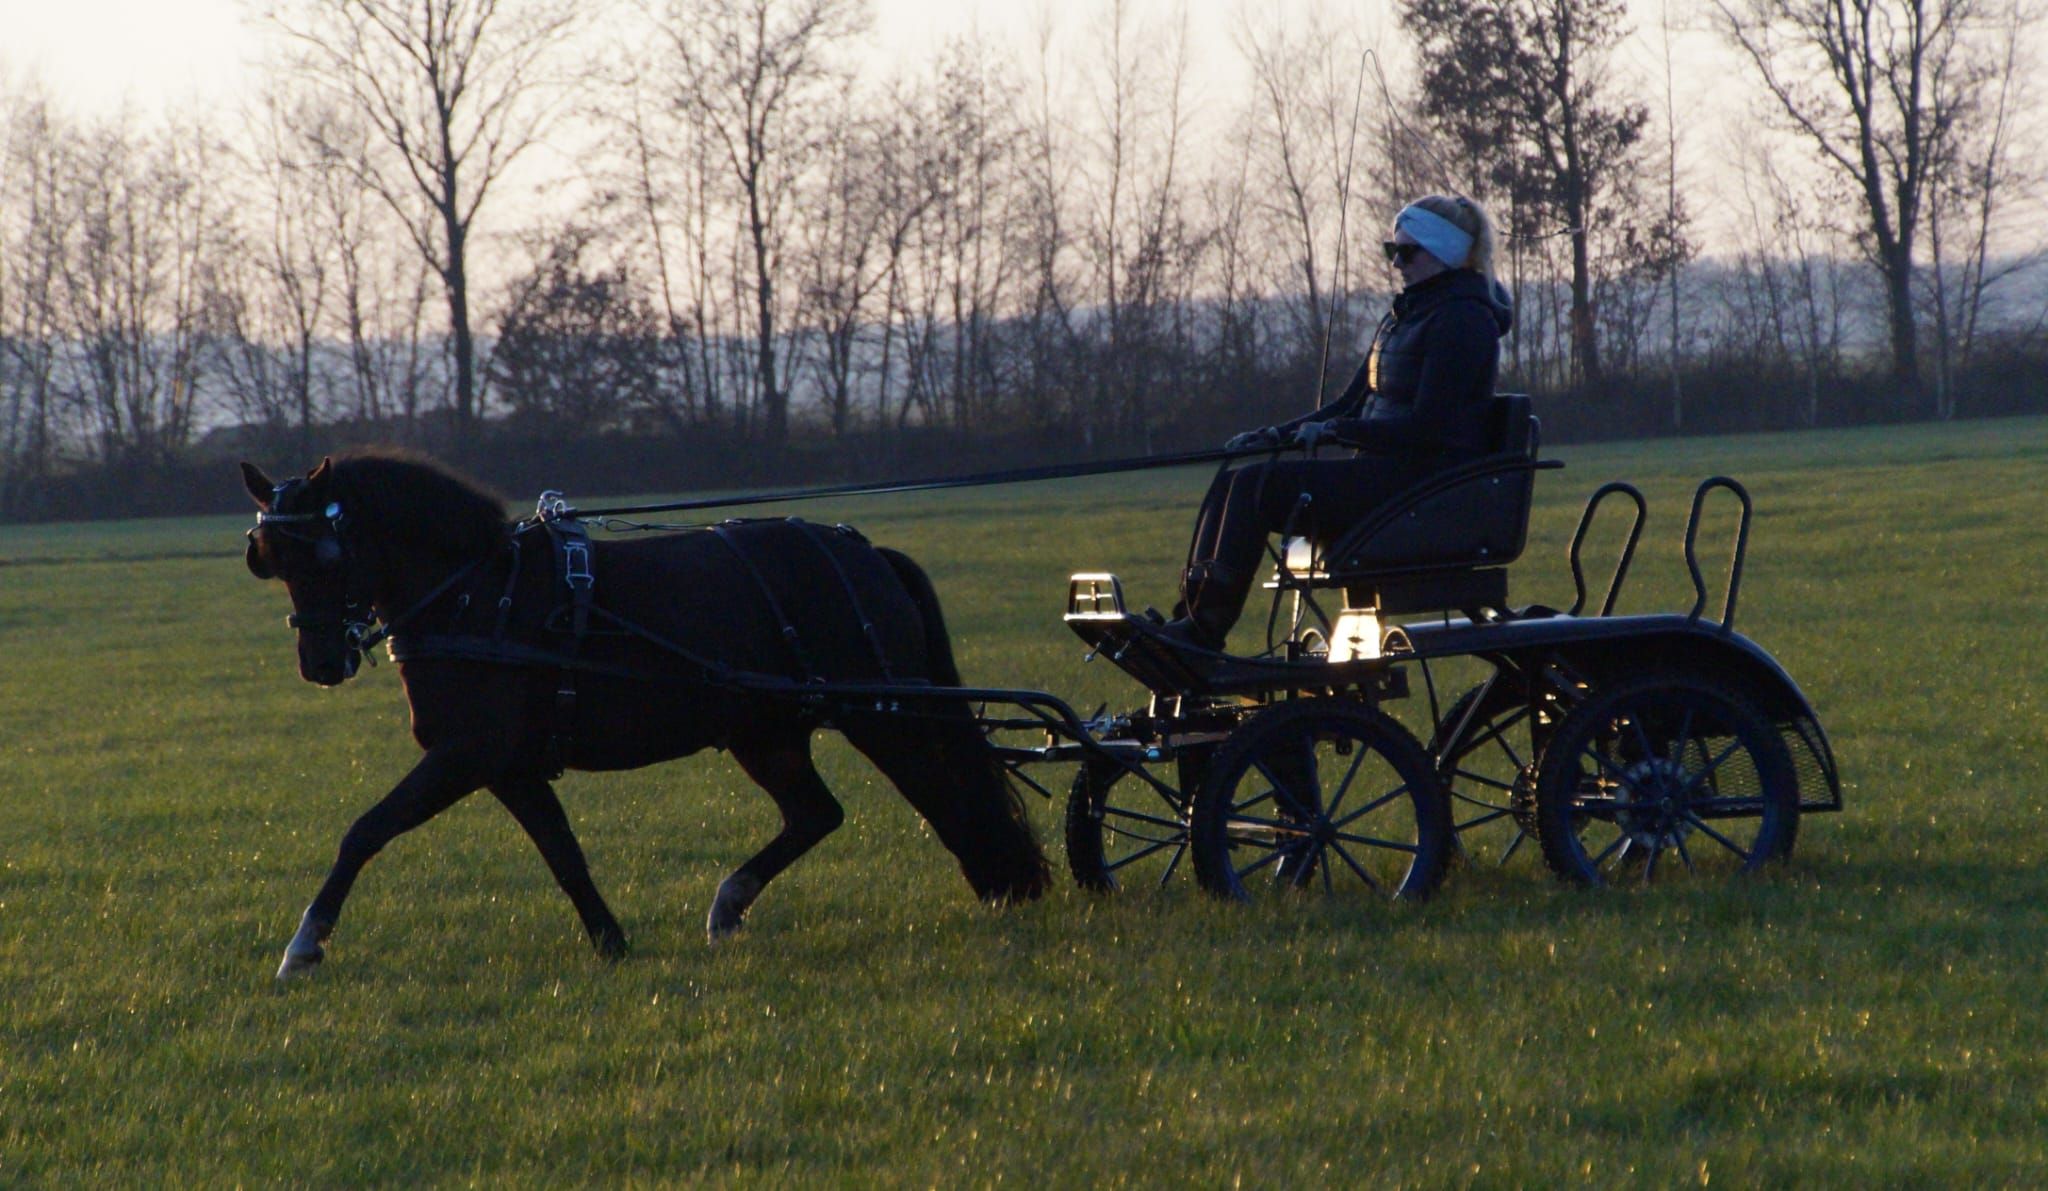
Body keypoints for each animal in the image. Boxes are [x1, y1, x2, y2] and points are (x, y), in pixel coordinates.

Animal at [241, 452, 1048, 979]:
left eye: (324, 552)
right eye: (268, 557)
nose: (321, 662)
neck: (477, 593)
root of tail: (866, 552)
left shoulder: (464, 756)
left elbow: (366, 830)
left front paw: (303, 946)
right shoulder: (509, 767)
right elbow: (563, 853)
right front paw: (610, 941)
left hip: (885, 715)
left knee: (946, 794)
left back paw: (1004, 887)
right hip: (767, 731)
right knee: (816, 812)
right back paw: (730, 906)